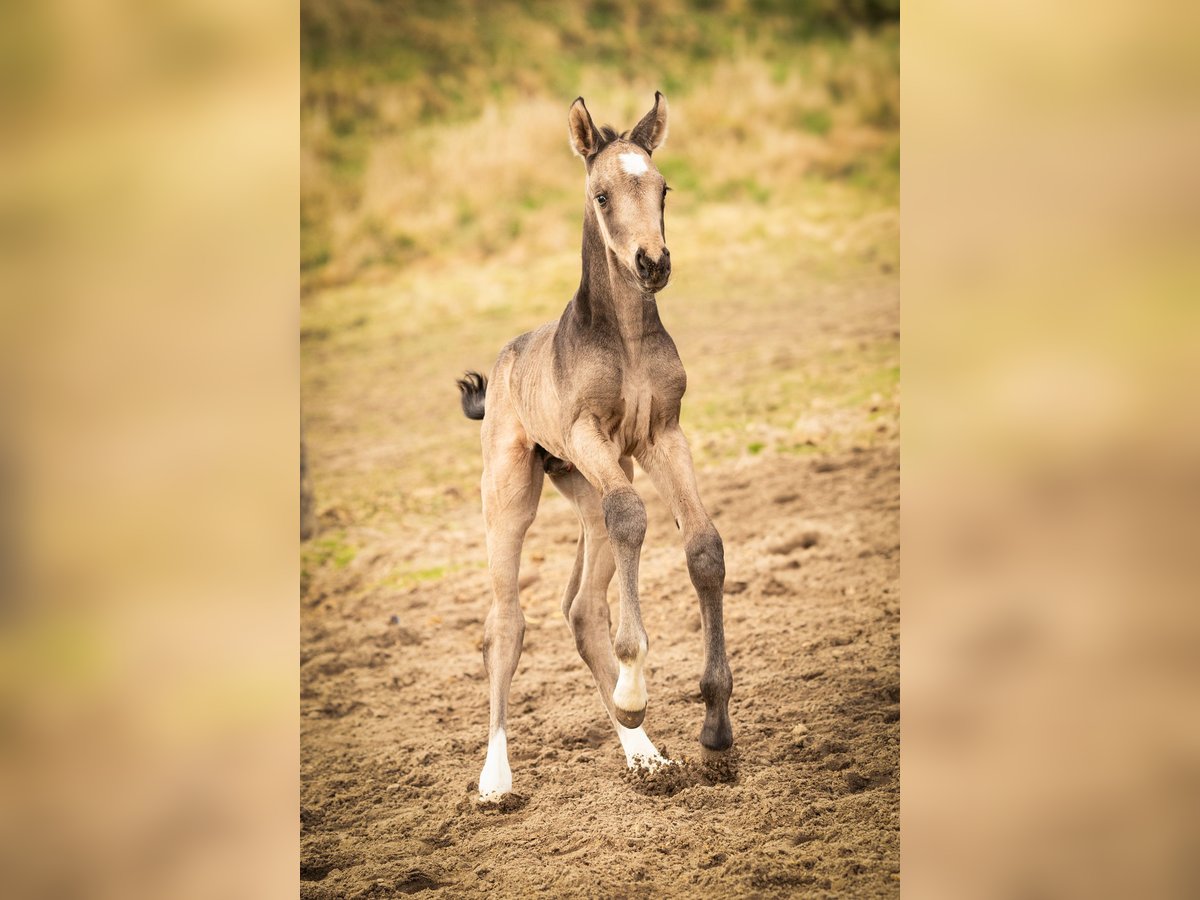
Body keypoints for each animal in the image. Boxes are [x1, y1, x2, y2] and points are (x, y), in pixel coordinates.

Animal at [453, 93, 729, 801]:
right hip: (510, 492)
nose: (652, 263)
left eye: (663, 189)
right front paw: (636, 690)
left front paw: (716, 727)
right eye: (602, 195)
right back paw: (496, 778)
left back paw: (645, 754)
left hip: (583, 485)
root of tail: (504, 362)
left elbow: (703, 545)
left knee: (581, 606)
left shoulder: (662, 434)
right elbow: (635, 514)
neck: (626, 338)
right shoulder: (588, 432)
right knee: (505, 623)